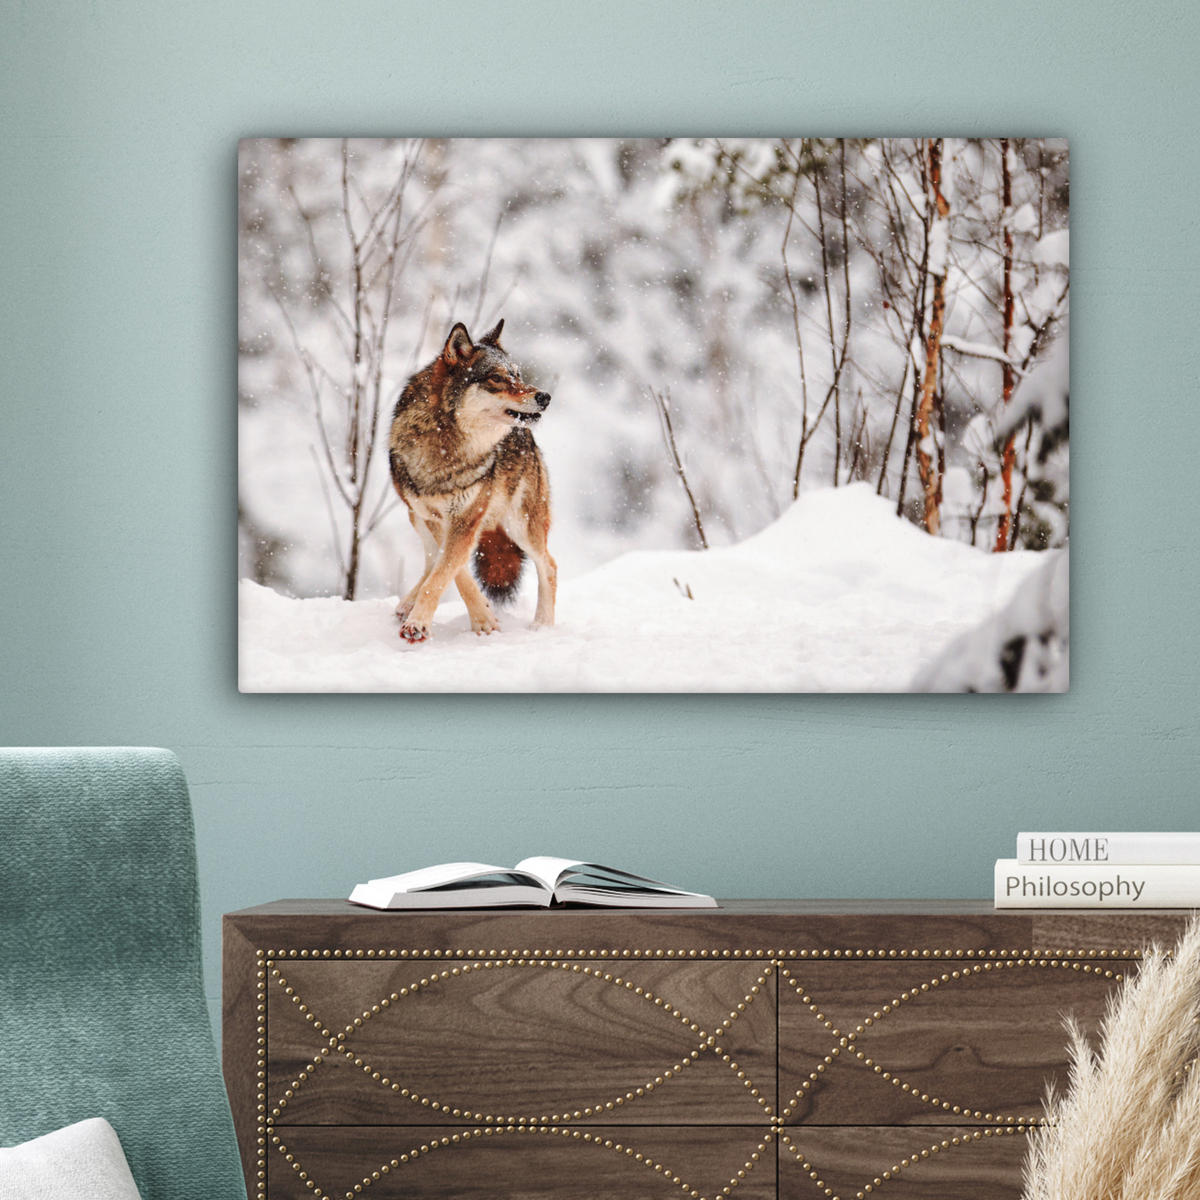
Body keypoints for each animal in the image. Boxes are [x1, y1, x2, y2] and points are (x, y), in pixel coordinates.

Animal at [387, 319, 556, 644]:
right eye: (496, 378)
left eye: (517, 375)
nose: (544, 397)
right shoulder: (437, 519)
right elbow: (452, 571)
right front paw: (483, 617)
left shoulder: (466, 518)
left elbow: (444, 573)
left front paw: (420, 624)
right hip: (416, 517)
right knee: (430, 560)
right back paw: (406, 604)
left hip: (521, 525)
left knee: (549, 565)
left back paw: (543, 626)